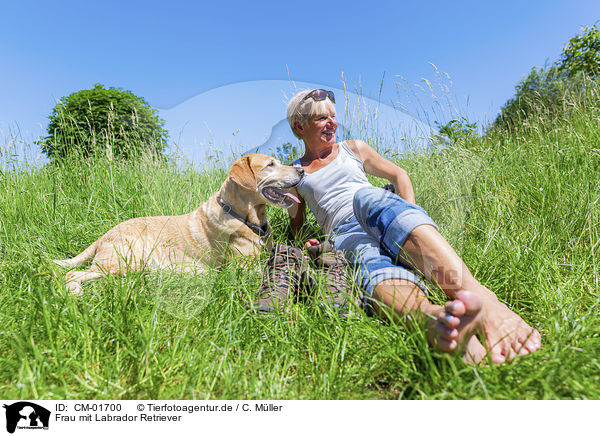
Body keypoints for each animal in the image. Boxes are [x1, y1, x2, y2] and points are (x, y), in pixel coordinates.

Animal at [54, 154, 302, 296]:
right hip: (126, 262)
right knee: (72, 274)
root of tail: (104, 235)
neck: (246, 217)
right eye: (271, 164)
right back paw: (75, 291)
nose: (301, 170)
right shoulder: (244, 268)